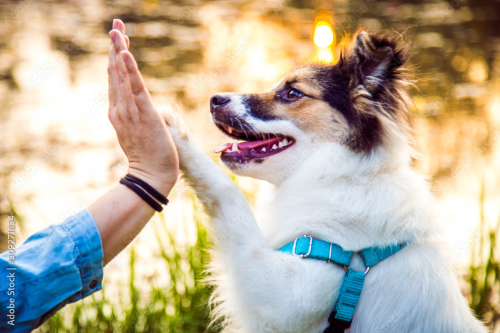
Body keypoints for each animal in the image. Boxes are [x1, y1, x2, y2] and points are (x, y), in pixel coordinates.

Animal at [163, 31, 488, 332]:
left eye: (293, 93)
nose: (214, 100)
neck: (335, 176)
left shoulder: (285, 295)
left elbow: (228, 195)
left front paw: (175, 133)